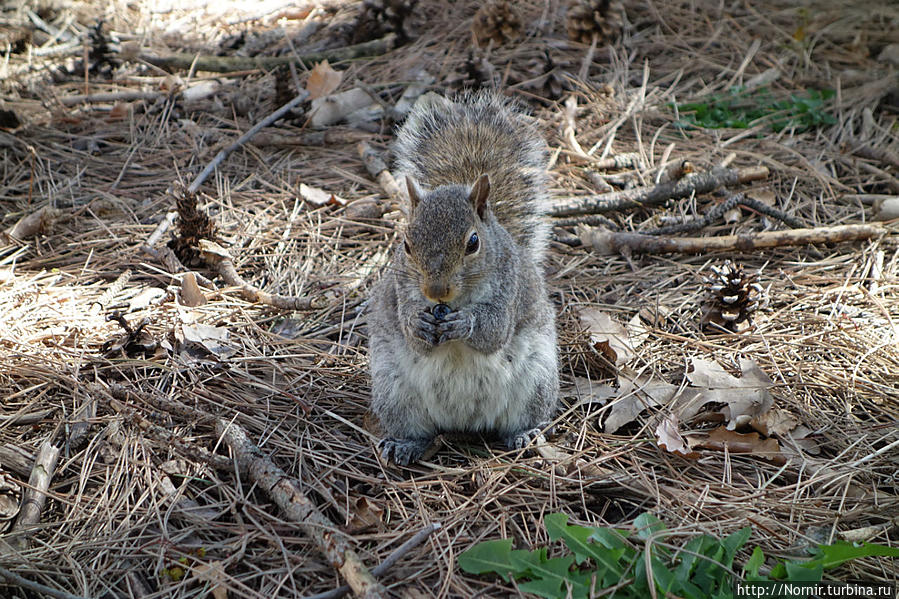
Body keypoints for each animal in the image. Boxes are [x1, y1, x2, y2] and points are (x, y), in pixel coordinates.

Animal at [366, 91, 556, 466]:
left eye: (473, 243)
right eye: (406, 245)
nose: (436, 290)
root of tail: (465, 421)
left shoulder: (509, 291)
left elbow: (494, 331)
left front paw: (465, 323)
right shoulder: (402, 292)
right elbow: (412, 333)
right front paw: (419, 325)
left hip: (536, 380)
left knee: (525, 416)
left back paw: (525, 433)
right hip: (392, 389)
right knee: (413, 427)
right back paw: (404, 444)